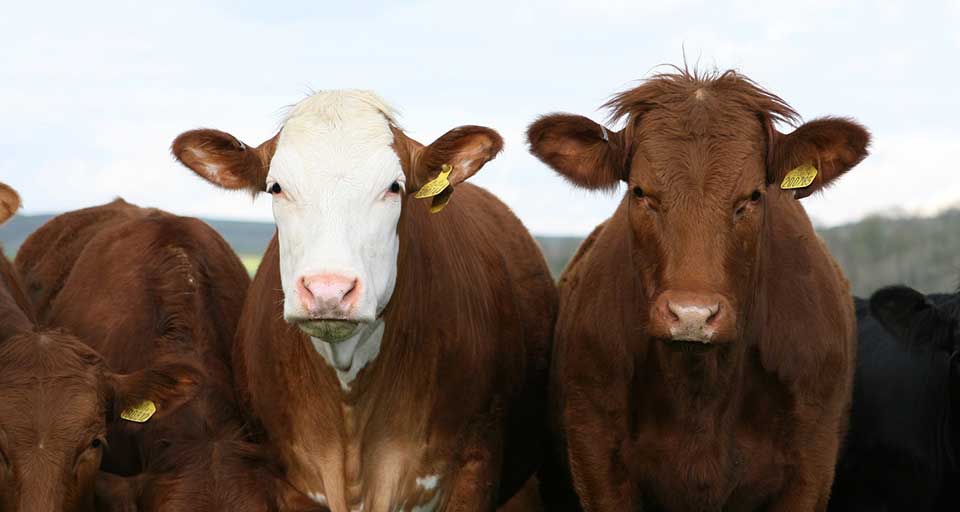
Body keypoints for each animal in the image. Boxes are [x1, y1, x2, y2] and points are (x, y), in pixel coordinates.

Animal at [524, 69, 872, 512]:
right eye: (640, 192)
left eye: (753, 195)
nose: (692, 315)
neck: (702, 391)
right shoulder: (596, 457)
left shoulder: (811, 463)